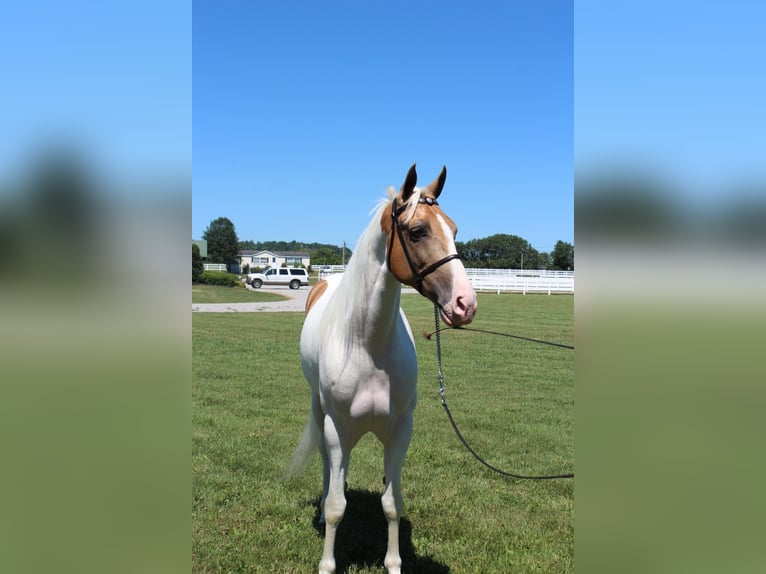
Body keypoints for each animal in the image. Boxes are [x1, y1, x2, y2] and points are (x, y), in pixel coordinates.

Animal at [292, 164, 476, 572]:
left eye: (454, 230)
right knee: (329, 470)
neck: (367, 348)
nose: (465, 304)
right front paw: (327, 563)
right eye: (418, 230)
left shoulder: (400, 430)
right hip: (320, 413)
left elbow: (391, 504)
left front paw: (393, 563)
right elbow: (336, 506)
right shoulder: (337, 428)